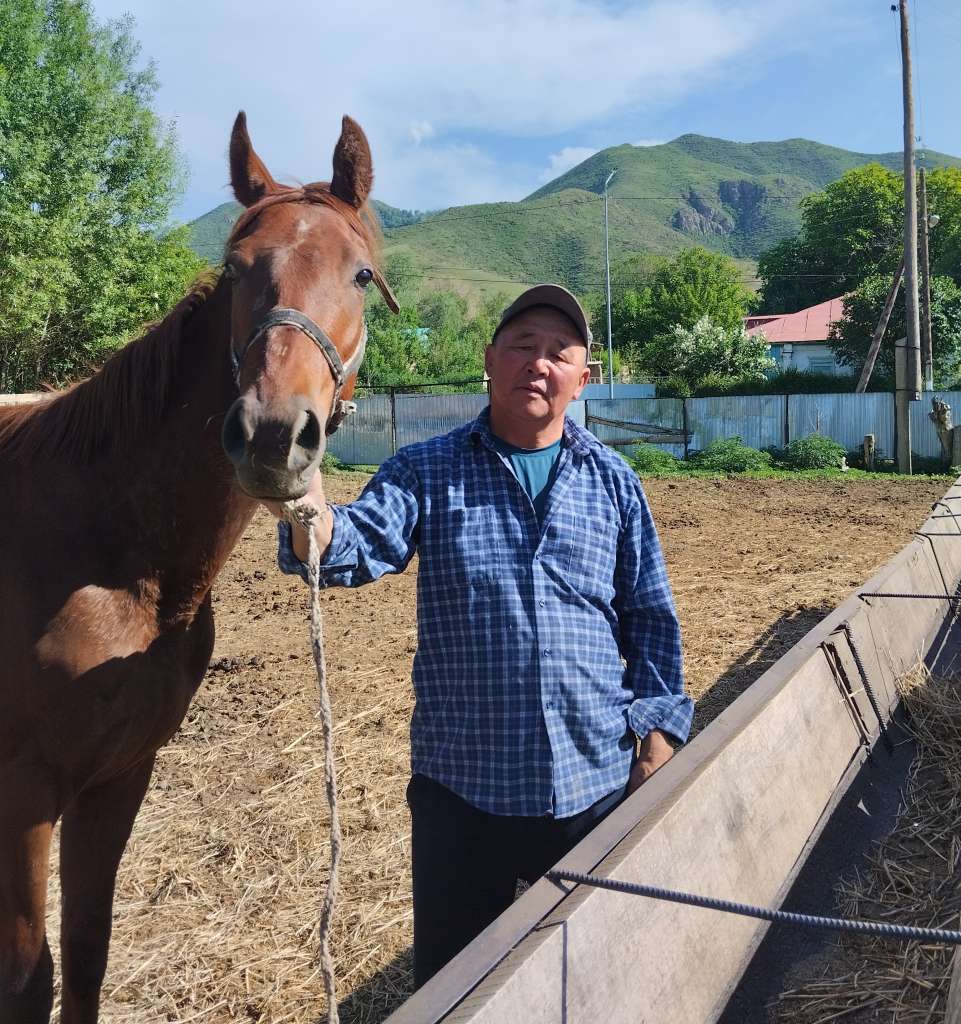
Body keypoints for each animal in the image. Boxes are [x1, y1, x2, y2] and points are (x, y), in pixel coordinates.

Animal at [0, 111, 397, 1023]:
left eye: (360, 274)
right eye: (235, 268)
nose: (271, 434)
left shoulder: (118, 776)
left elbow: (87, 951)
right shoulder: (23, 791)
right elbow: (32, 976)